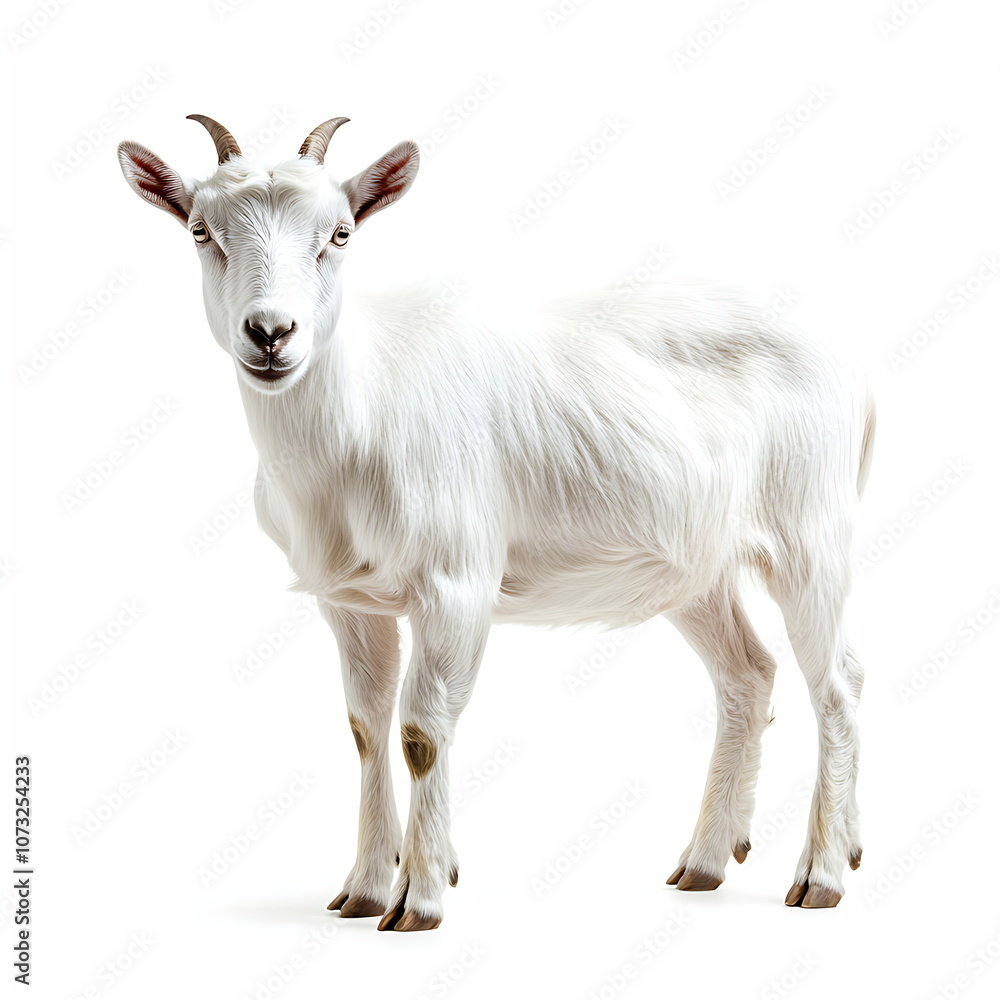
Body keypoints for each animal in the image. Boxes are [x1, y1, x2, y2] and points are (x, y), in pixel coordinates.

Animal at [118, 115, 875, 930]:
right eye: (201, 231)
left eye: (341, 233)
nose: (270, 332)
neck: (360, 411)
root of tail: (856, 377)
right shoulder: (349, 599)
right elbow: (365, 727)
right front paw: (364, 887)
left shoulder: (457, 580)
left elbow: (422, 730)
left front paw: (418, 899)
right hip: (695, 565)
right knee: (748, 674)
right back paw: (708, 861)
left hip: (811, 532)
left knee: (839, 682)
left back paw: (822, 874)